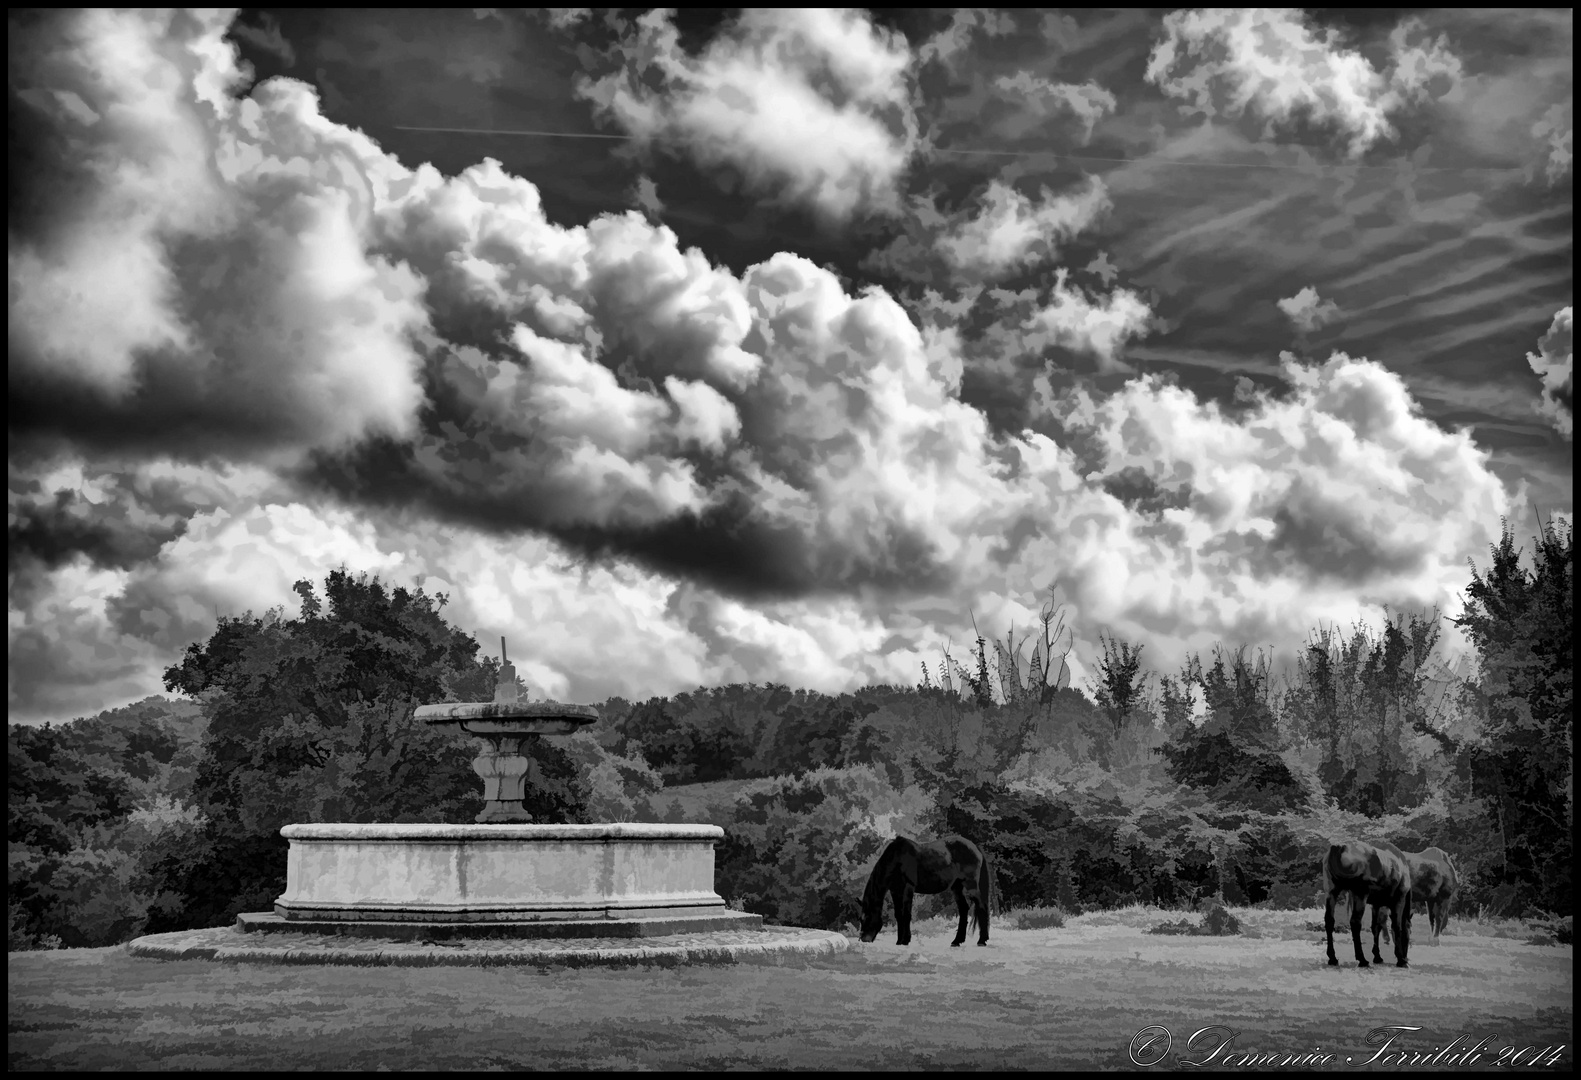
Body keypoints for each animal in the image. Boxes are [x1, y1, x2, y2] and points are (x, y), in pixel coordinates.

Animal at [860, 834, 992, 948]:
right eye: (861, 919)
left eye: (867, 917)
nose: (863, 939)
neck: (898, 858)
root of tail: (975, 847)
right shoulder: (895, 891)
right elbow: (898, 915)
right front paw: (899, 941)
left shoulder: (908, 888)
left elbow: (906, 914)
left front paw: (905, 940)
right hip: (957, 887)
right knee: (963, 909)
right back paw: (957, 941)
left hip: (971, 885)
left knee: (981, 907)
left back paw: (982, 940)